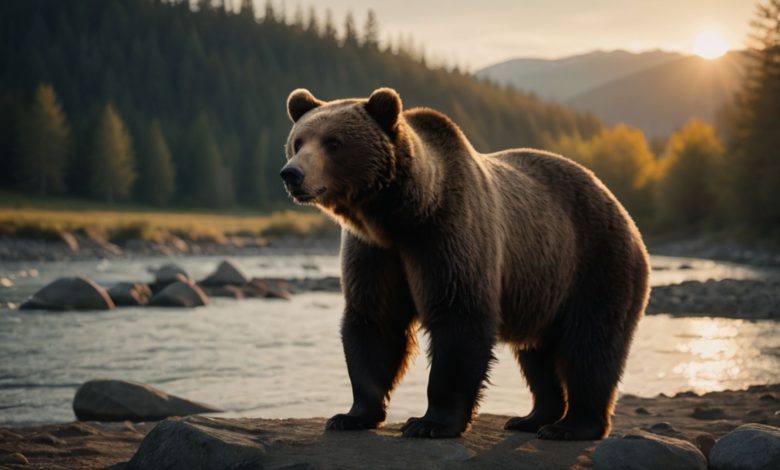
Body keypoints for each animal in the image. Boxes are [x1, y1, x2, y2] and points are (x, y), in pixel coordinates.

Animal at [280, 87, 650, 440]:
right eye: (298, 142)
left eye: (333, 143)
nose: (291, 174)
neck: (397, 216)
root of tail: (619, 206)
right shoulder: (375, 253)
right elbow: (375, 321)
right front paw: (351, 416)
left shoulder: (447, 233)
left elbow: (459, 317)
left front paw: (429, 423)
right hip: (544, 288)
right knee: (537, 356)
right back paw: (532, 418)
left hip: (597, 263)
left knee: (591, 346)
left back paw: (571, 426)